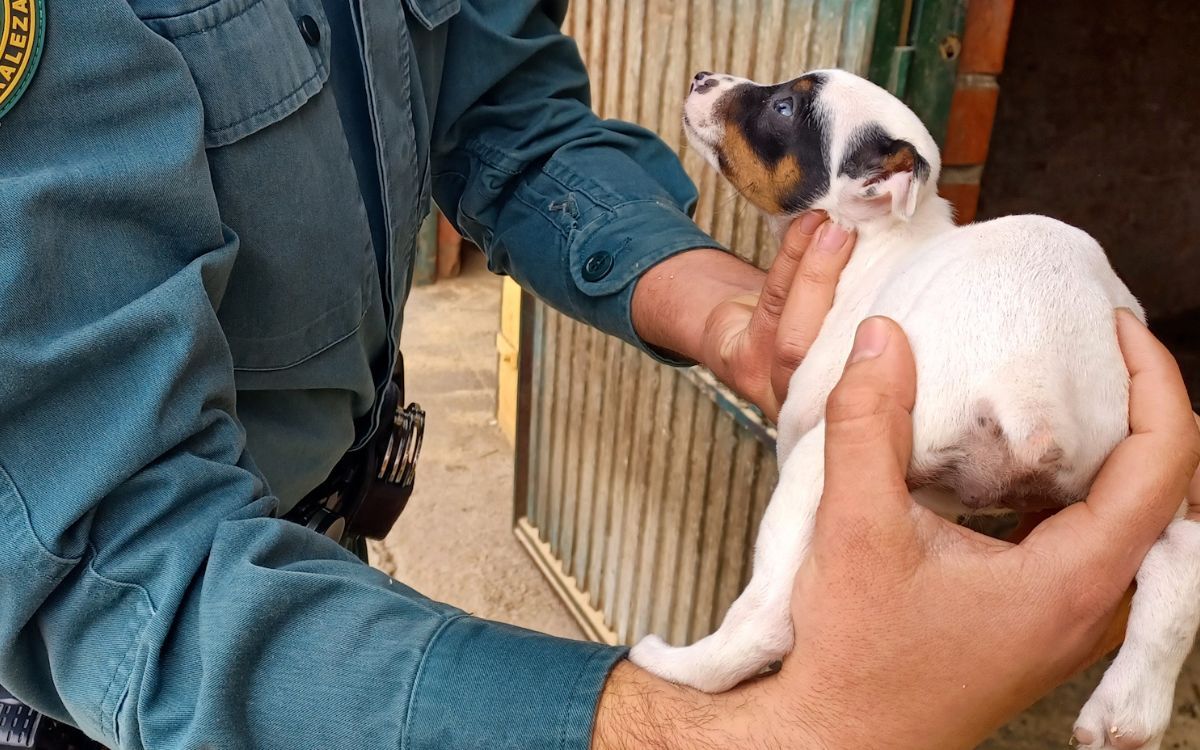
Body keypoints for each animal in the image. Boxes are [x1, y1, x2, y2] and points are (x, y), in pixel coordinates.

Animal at [628, 67, 1200, 744]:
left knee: (763, 621)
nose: (701, 77)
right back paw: (1129, 715)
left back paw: (670, 661)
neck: (887, 234)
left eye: (784, 106)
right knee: (1180, 560)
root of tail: (1032, 379)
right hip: (1140, 479)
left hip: (817, 467)